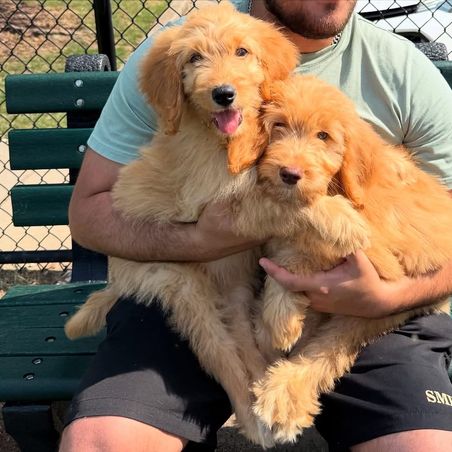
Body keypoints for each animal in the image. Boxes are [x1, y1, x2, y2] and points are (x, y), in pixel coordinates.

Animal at [228, 74, 452, 442]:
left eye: (323, 136)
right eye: (278, 126)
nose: (289, 174)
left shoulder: (383, 260)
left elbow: (302, 252)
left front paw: (278, 321)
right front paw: (275, 321)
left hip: (375, 309)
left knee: (330, 347)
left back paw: (284, 395)